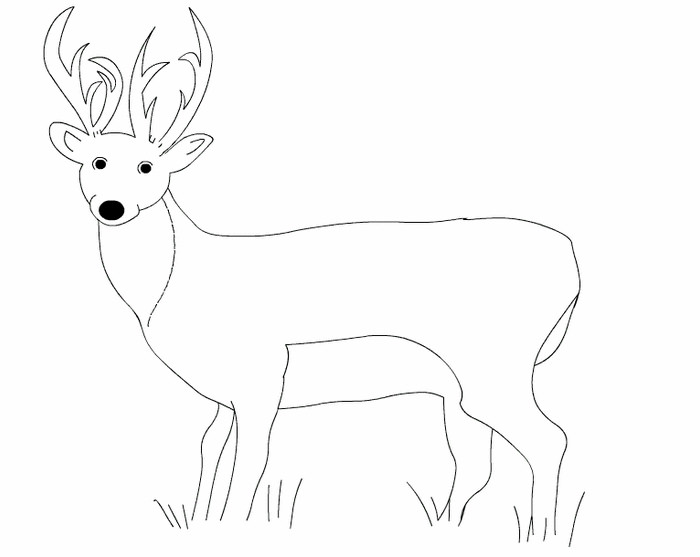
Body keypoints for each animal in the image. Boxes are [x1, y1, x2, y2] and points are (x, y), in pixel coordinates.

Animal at [44, 7, 580, 538]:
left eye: (147, 166)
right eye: (97, 161)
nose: (111, 207)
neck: (176, 284)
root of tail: (573, 261)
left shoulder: (261, 375)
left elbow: (249, 466)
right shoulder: (222, 393)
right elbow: (209, 452)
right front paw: (202, 522)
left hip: (493, 365)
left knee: (548, 439)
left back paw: (544, 533)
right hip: (459, 390)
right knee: (475, 464)